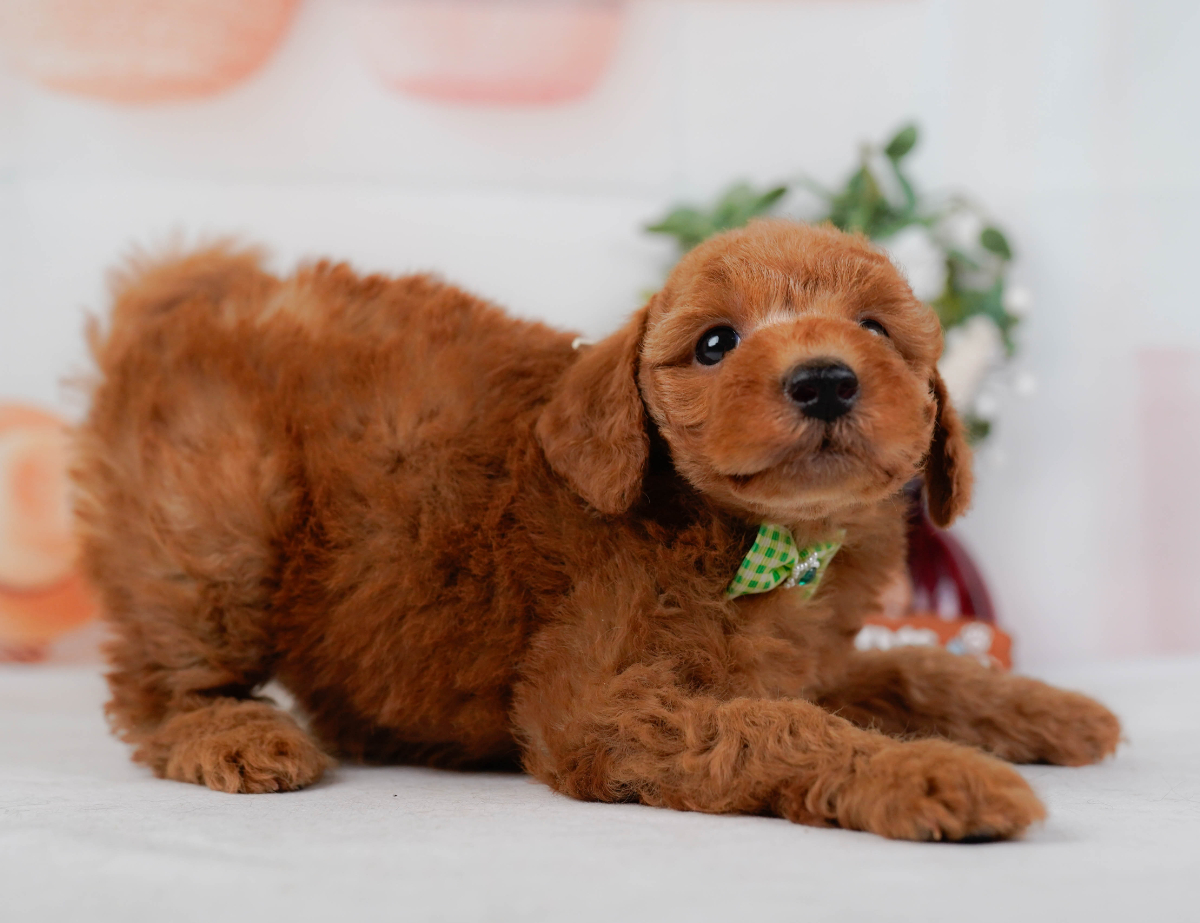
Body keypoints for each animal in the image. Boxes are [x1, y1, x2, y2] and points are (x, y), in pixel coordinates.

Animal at [72, 219, 1120, 841]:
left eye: (876, 327)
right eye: (715, 343)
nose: (825, 379)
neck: (762, 540)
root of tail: (172, 304)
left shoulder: (811, 659)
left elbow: (911, 669)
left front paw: (1052, 710)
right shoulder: (597, 706)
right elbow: (779, 729)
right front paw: (936, 776)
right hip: (213, 527)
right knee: (162, 682)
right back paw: (236, 735)